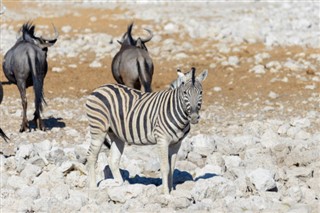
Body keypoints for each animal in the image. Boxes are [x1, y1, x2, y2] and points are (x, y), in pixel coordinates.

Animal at [85, 67, 208, 195]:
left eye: (201, 92)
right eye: (184, 93)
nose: (194, 117)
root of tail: (100, 87)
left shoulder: (176, 143)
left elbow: (172, 167)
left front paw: (171, 190)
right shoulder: (162, 140)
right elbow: (165, 167)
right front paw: (166, 193)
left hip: (116, 134)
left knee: (113, 159)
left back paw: (119, 184)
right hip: (98, 129)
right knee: (91, 156)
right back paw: (93, 188)